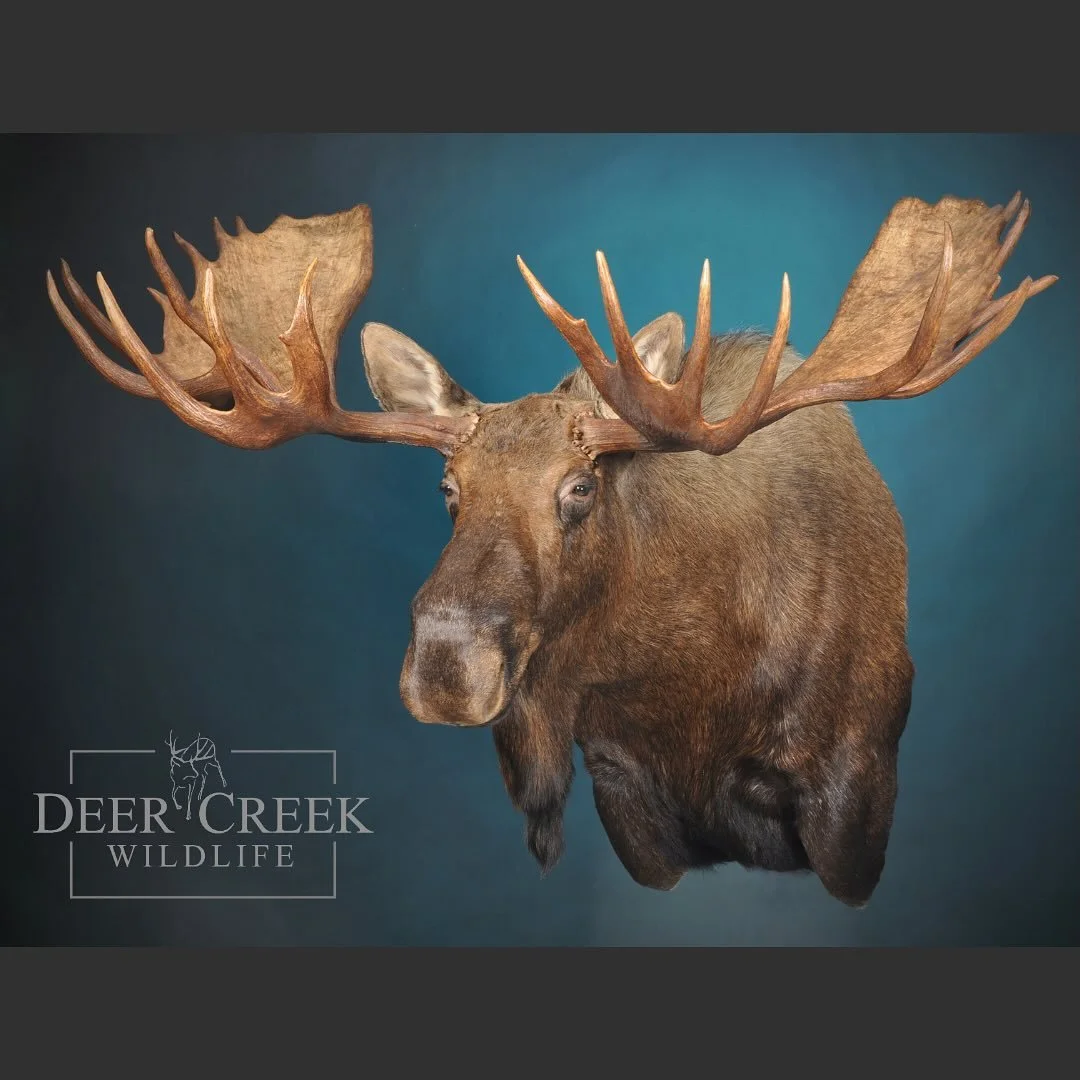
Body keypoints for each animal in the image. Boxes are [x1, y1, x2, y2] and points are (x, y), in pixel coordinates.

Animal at [46, 193, 1055, 907]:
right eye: (447, 491)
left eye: (580, 488)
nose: (447, 664)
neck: (698, 689)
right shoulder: (622, 781)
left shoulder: (854, 773)